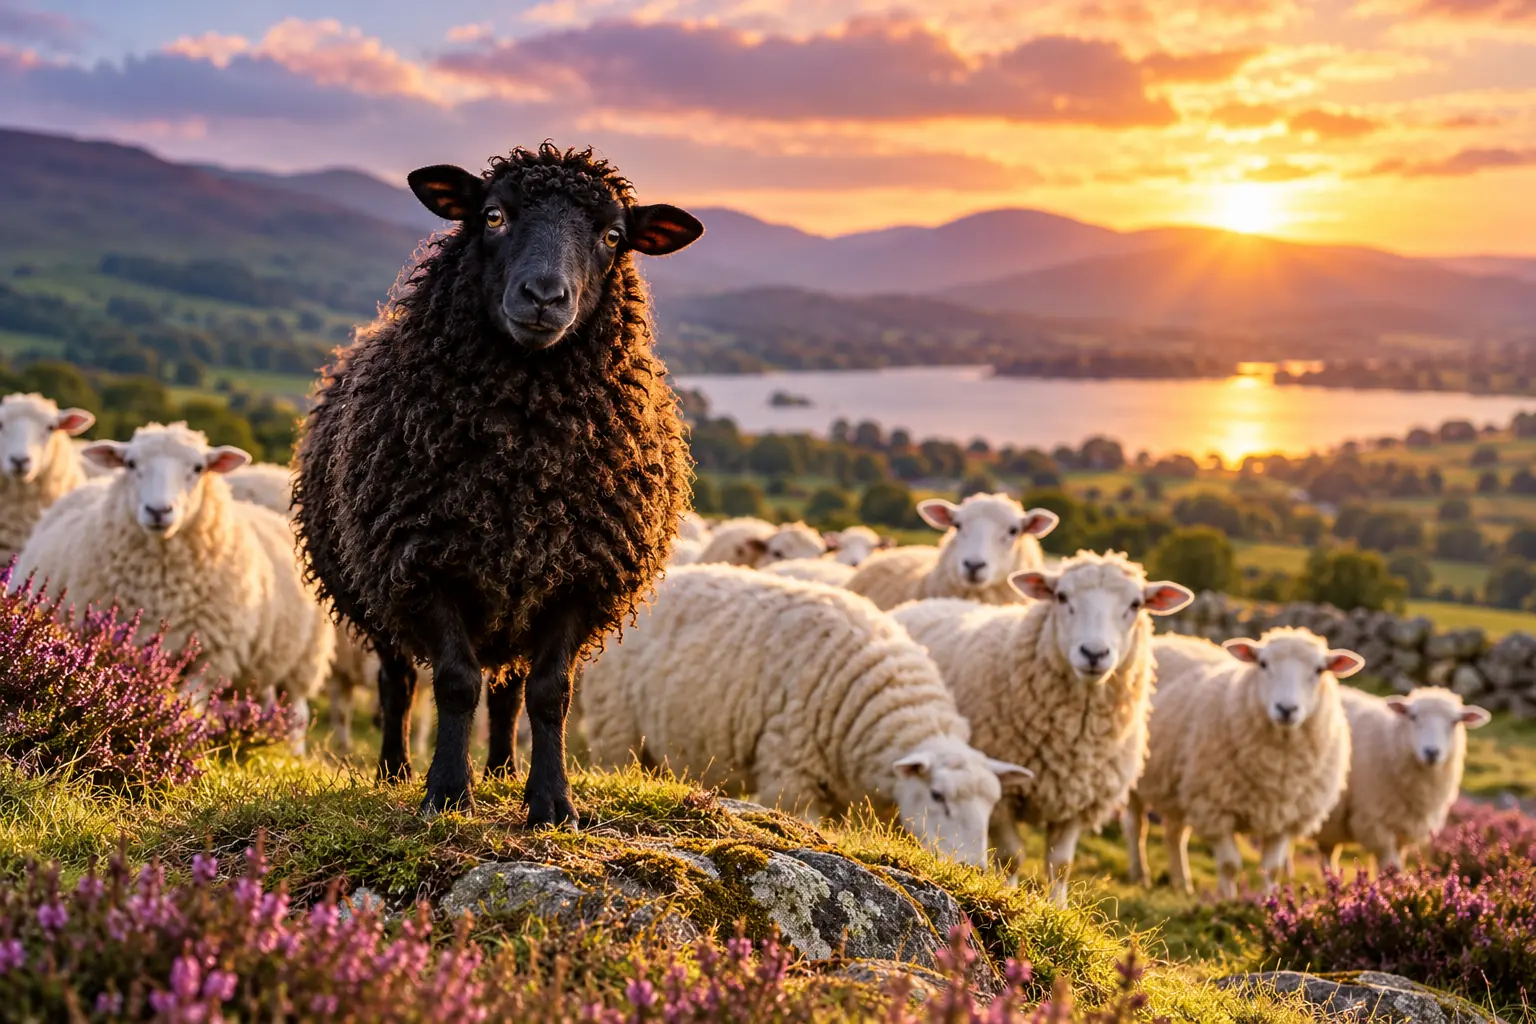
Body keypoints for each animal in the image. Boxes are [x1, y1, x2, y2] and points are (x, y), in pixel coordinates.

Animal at [11, 423, 334, 753]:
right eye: (131, 464)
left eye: (198, 468)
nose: (158, 510)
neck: (163, 589)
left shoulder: (211, 657)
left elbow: (189, 709)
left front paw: (181, 742)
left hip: (303, 660)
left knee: (296, 715)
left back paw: (293, 755)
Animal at [293, 143, 703, 819]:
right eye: (493, 216)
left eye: (613, 236)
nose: (543, 296)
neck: (523, 466)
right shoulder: (422, 564)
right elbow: (455, 683)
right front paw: (446, 792)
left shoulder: (580, 576)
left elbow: (549, 692)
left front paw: (552, 804)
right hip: (376, 593)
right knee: (398, 681)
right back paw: (394, 771)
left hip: (516, 610)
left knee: (508, 690)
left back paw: (505, 770)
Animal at [894, 550, 1192, 905]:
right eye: (1061, 596)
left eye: (1135, 604)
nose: (1094, 653)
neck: (1074, 736)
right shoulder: (1003, 794)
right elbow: (1012, 856)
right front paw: (1004, 894)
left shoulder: (1079, 799)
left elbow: (1061, 864)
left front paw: (1057, 907)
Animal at [1126, 628, 1360, 900]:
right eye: (1263, 663)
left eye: (1320, 670)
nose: (1286, 709)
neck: (1278, 768)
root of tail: (1170, 637)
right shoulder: (1214, 808)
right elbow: (1230, 865)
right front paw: (1227, 901)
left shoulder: (1284, 818)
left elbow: (1272, 868)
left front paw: (1268, 902)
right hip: (1135, 778)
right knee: (1137, 826)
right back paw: (1140, 874)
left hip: (1180, 788)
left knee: (1175, 834)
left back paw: (1182, 884)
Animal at [1314, 686, 1490, 873]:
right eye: (1413, 716)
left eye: (1455, 722)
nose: (1432, 752)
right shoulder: (1376, 824)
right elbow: (1390, 869)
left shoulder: (1403, 829)